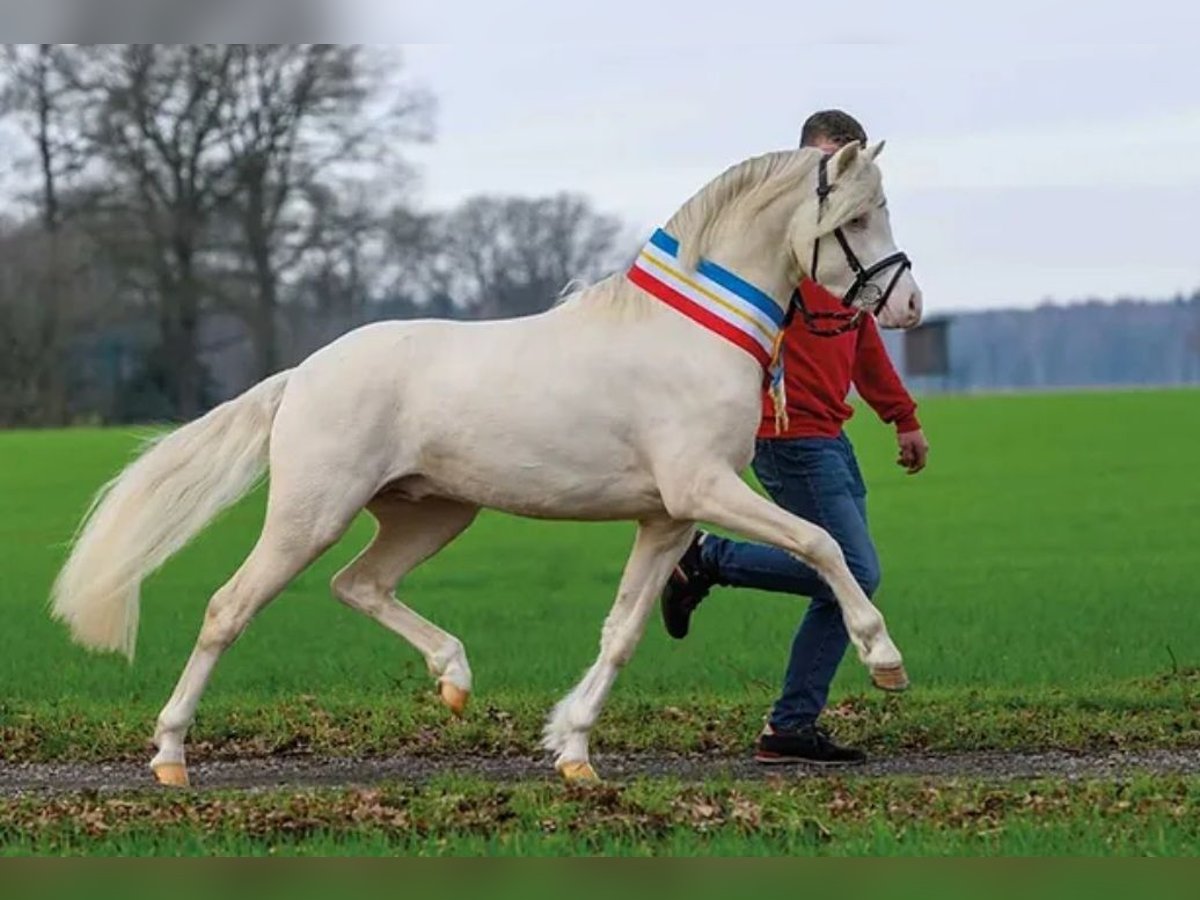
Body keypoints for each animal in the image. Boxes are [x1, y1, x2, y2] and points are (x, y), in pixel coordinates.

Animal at [51, 139, 921, 782]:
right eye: (861, 217)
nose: (908, 306)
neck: (693, 333)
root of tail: (302, 375)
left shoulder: (669, 517)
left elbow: (623, 631)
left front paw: (572, 751)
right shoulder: (704, 488)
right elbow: (821, 542)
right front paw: (885, 660)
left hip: (434, 512)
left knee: (358, 584)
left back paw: (455, 681)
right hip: (312, 514)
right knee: (230, 607)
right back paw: (170, 756)